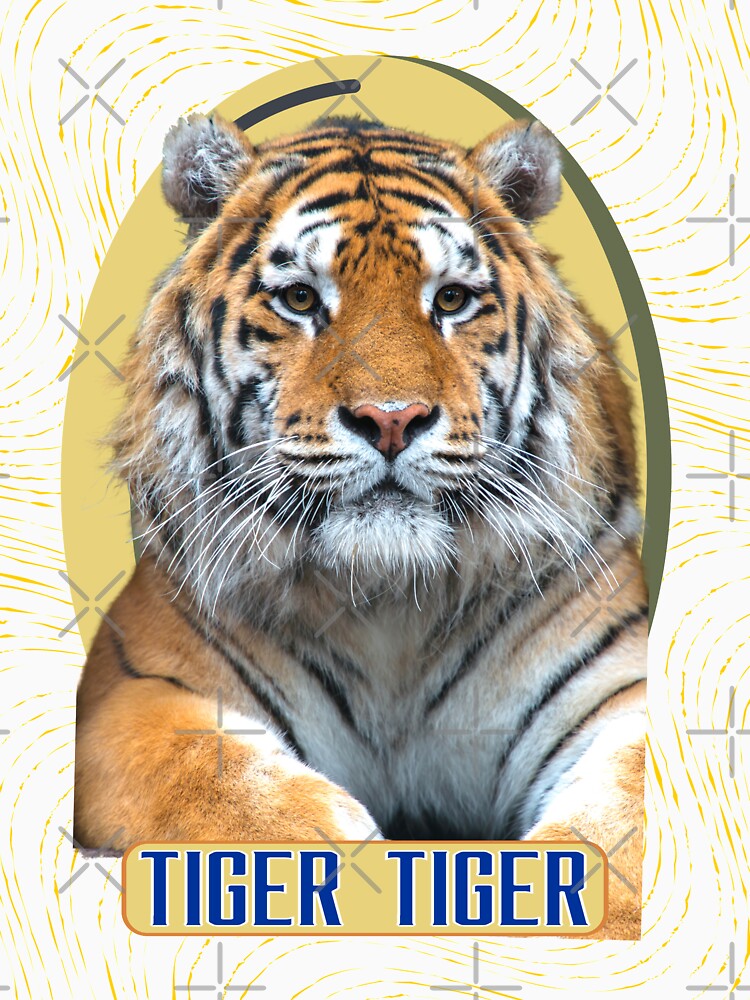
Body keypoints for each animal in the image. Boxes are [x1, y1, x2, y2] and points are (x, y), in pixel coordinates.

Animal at [73, 112, 648, 939]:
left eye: (451, 300)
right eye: (300, 299)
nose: (391, 418)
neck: (387, 602)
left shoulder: (621, 687)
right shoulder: (135, 690)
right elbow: (222, 787)